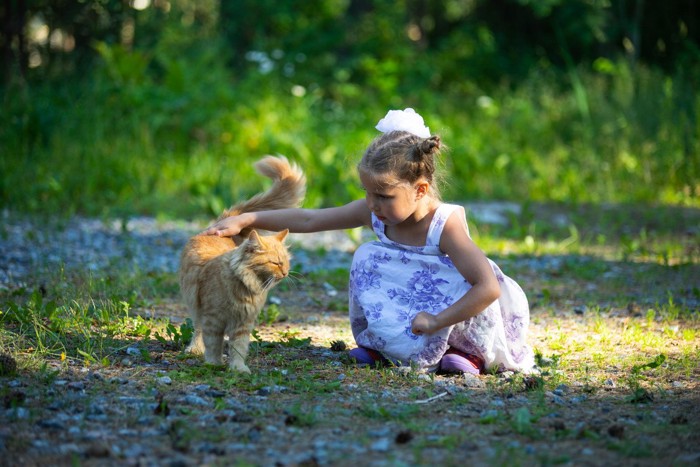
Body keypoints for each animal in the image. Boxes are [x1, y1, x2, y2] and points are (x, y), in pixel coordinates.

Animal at [178, 156, 304, 372]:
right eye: (275, 263)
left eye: (286, 263)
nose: (286, 273)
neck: (245, 287)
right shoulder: (213, 318)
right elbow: (213, 343)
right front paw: (213, 364)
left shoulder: (243, 323)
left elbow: (238, 347)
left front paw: (238, 369)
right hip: (194, 303)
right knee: (198, 328)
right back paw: (195, 349)